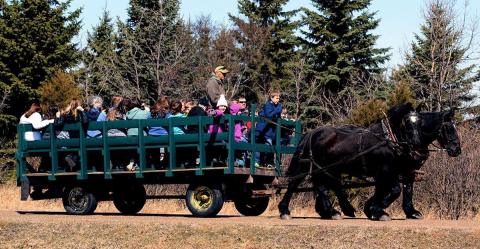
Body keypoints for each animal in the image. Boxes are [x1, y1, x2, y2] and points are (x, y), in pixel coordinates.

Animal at [278, 102, 420, 221]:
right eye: (407, 121)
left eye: (418, 121)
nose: (416, 143)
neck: (387, 139)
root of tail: (311, 133)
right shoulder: (385, 170)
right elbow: (395, 190)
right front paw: (378, 210)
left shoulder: (394, 171)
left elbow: (399, 189)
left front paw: (376, 209)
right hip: (311, 166)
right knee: (295, 184)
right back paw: (286, 211)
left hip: (327, 169)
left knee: (325, 186)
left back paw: (335, 211)